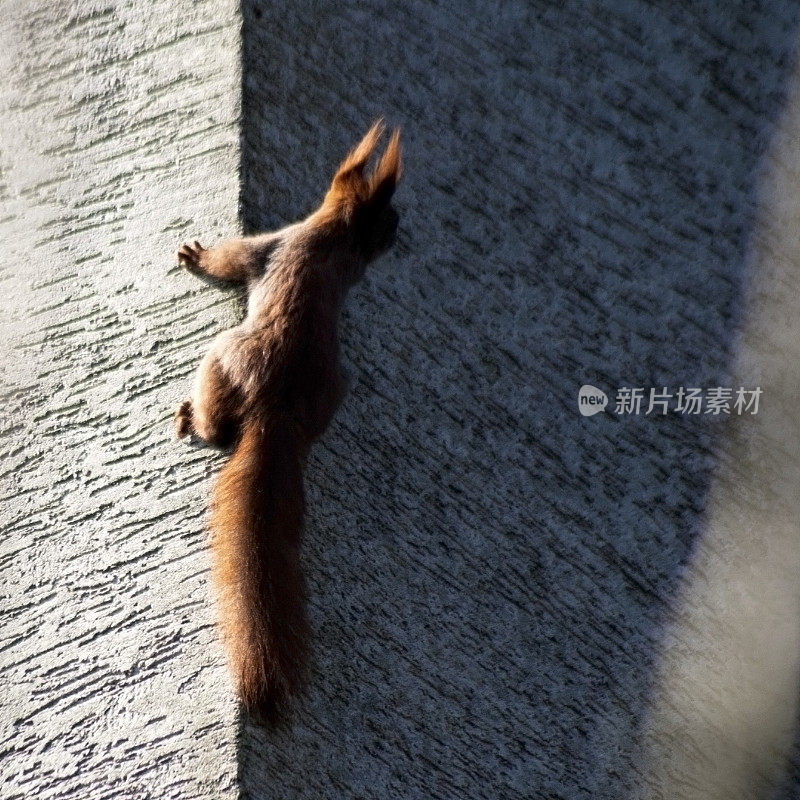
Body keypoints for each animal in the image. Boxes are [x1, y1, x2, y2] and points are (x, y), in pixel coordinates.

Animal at [173, 122, 404, 720]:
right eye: (389, 219)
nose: (399, 237)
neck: (335, 236)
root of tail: (278, 416)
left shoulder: (271, 245)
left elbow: (232, 260)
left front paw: (196, 256)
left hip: (224, 355)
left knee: (216, 418)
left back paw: (192, 419)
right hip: (333, 392)